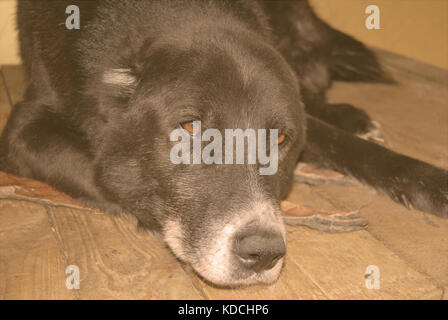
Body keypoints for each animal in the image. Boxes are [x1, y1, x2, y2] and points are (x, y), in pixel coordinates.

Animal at [0, 0, 448, 284]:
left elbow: (350, 147)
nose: (263, 253)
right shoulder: (23, 130)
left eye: (280, 138)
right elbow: (102, 172)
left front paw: (430, 182)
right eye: (191, 127)